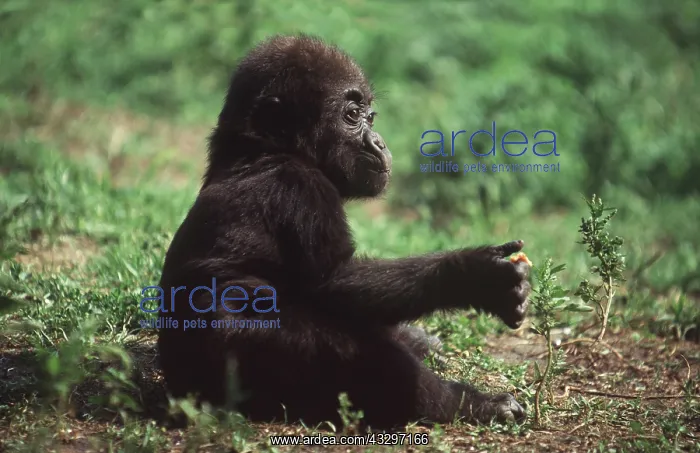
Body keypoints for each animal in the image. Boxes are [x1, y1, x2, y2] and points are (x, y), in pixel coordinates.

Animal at [156, 34, 531, 430]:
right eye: (352, 116)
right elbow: (335, 282)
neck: (259, 149)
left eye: (370, 116)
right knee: (357, 352)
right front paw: (474, 276)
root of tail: (178, 393)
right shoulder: (300, 189)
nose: (379, 142)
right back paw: (468, 404)